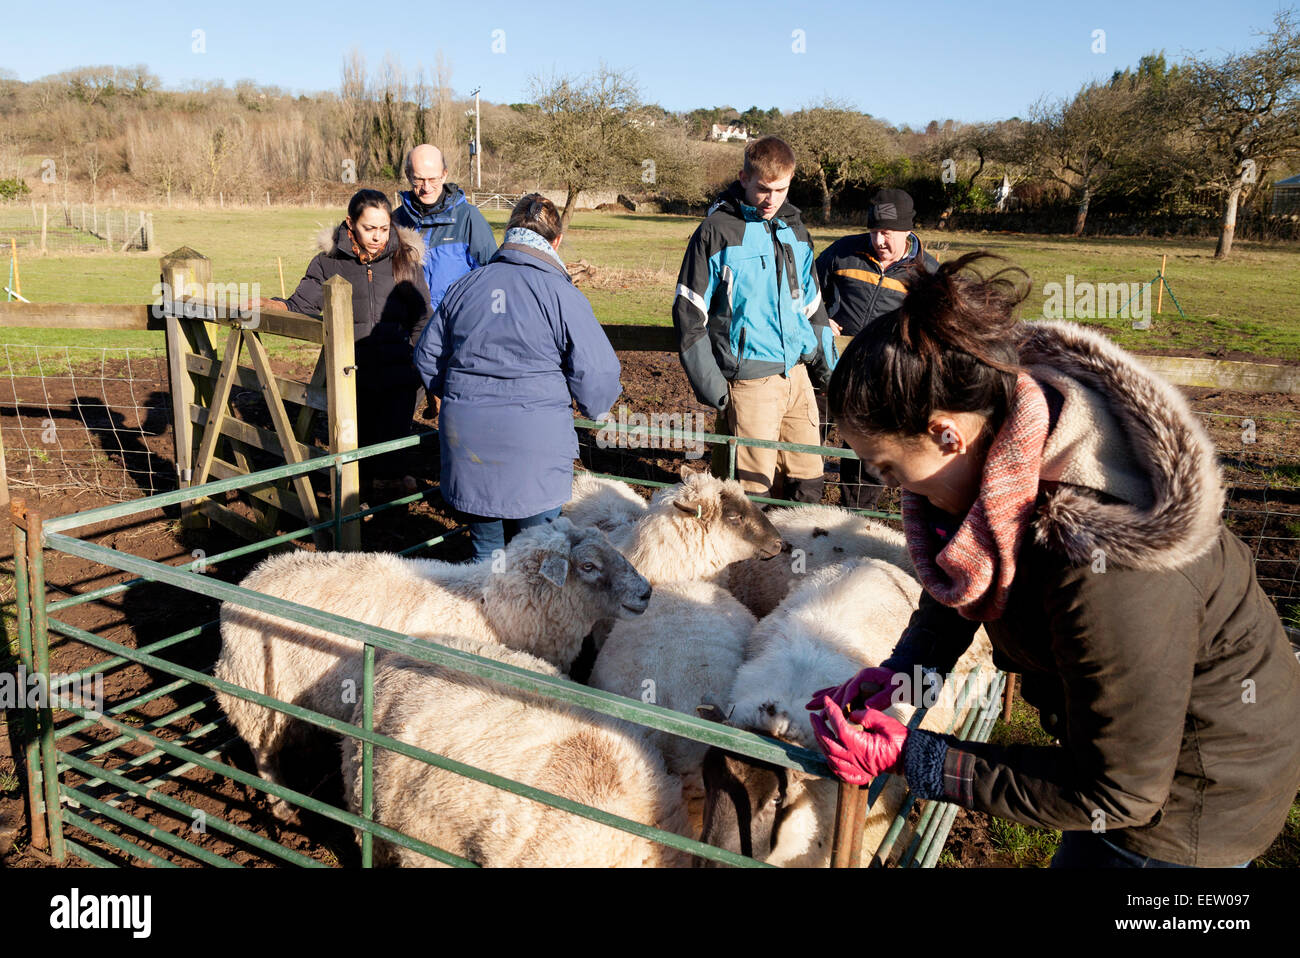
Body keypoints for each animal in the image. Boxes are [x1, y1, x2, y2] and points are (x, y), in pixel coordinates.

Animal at [219, 514, 660, 816]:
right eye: (588, 566)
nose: (647, 592)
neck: (491, 609)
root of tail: (253, 575)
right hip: (254, 694)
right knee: (262, 753)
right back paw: (281, 804)